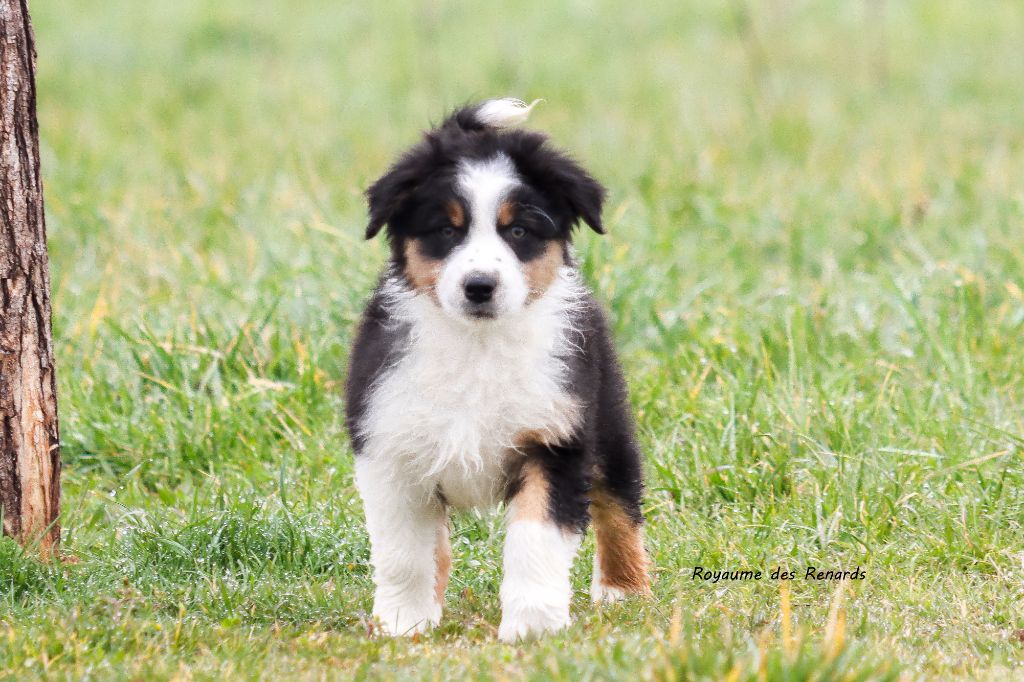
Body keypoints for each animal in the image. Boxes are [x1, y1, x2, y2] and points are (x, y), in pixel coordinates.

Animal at [345, 99, 650, 642]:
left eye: (519, 231)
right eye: (446, 230)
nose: (480, 286)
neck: (478, 346)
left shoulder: (554, 440)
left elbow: (536, 542)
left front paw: (533, 628)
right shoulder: (389, 444)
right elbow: (405, 552)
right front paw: (404, 623)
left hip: (608, 420)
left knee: (621, 504)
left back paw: (624, 592)